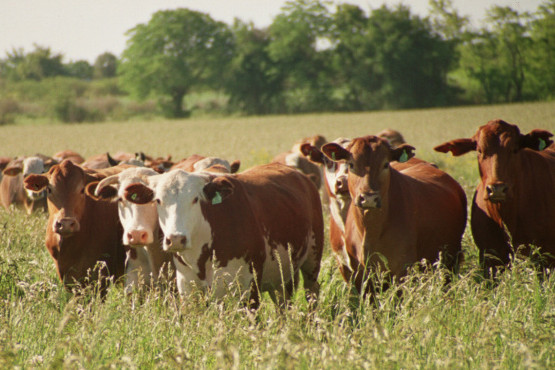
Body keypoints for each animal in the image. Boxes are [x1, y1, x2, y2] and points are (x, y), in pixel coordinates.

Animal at [121, 163, 322, 308]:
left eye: (195, 199)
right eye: (158, 200)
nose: (176, 239)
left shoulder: (249, 289)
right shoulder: (188, 290)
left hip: (312, 262)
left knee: (312, 292)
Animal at [324, 136, 466, 294]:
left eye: (386, 164)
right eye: (351, 164)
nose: (368, 198)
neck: (370, 230)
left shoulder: (403, 270)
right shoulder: (359, 275)